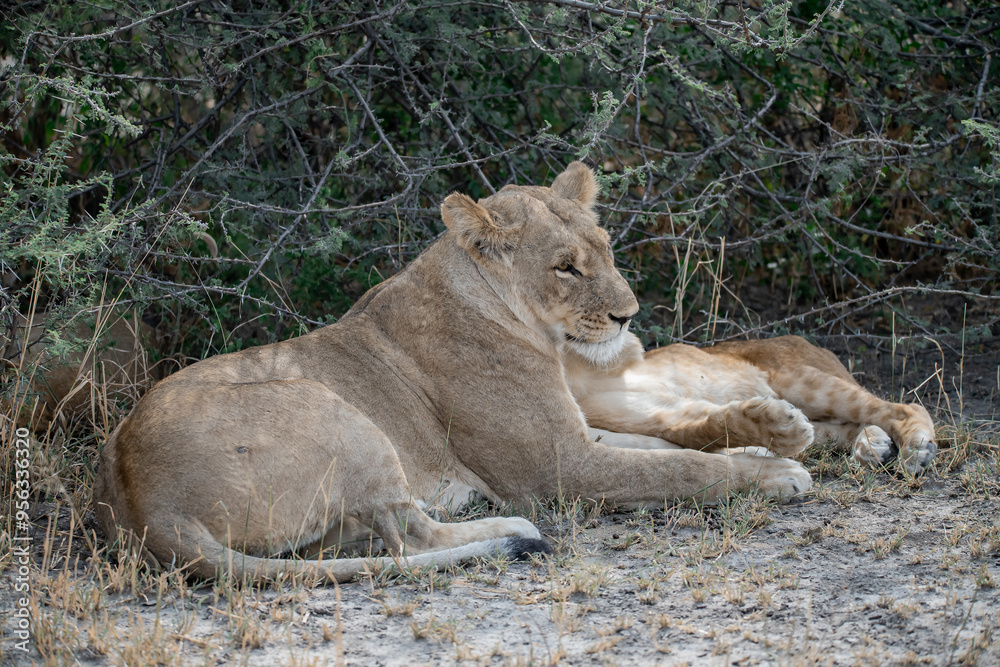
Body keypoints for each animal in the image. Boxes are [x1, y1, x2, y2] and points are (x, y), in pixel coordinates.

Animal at [93, 162, 811, 584]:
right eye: (565, 267)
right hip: (330, 408)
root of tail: (144, 501)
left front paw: (771, 440)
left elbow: (664, 444)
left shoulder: (575, 437)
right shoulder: (559, 469)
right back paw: (514, 532)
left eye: (606, 250)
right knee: (410, 538)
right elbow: (679, 469)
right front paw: (774, 474)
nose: (627, 315)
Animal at [565, 331, 937, 476]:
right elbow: (704, 430)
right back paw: (873, 447)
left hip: (800, 381)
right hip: (819, 415)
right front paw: (777, 430)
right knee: (850, 427)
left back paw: (915, 450)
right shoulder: (659, 415)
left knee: (904, 407)